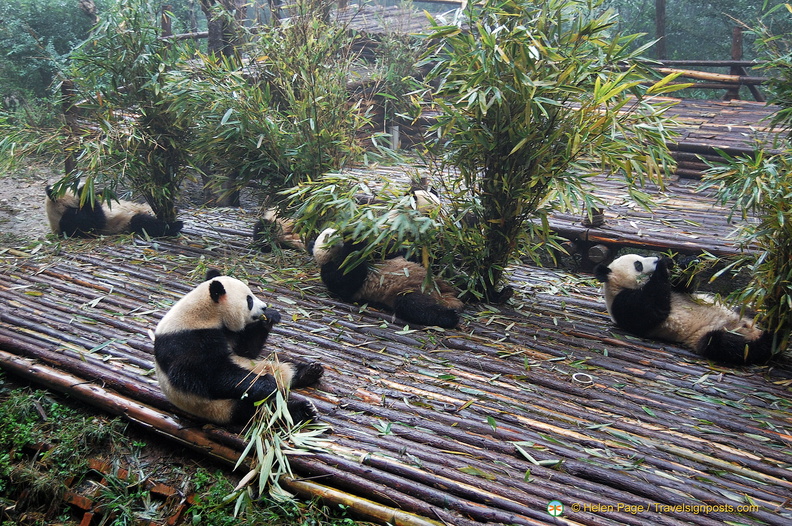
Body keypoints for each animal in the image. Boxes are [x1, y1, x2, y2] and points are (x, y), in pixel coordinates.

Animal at [46, 186, 183, 239]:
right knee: (143, 222)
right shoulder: (69, 220)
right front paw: (84, 190)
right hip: (127, 223)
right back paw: (175, 226)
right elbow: (95, 222)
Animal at [153, 270, 324, 426]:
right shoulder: (186, 340)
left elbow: (246, 350)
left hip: (265, 365)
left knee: (283, 366)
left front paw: (269, 317)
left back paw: (309, 371)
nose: (264, 307)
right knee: (264, 411)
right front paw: (268, 384)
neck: (204, 312)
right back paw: (302, 409)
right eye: (249, 300)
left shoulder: (227, 332)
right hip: (222, 407)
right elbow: (207, 374)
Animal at [310, 228, 464, 328]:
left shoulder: (384, 253)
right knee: (414, 305)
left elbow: (400, 250)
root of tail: (445, 296)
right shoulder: (333, 270)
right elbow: (347, 279)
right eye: (328, 235)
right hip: (408, 293)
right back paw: (450, 316)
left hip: (439, 278)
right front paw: (353, 238)